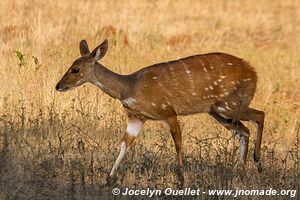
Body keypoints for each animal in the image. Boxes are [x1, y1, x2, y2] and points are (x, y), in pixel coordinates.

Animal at [55, 38, 264, 180]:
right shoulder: (136, 117)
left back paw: (257, 161)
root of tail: (254, 73)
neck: (129, 88)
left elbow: (178, 143)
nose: (58, 86)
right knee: (244, 131)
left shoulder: (168, 111)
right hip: (217, 111)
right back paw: (240, 170)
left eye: (75, 69)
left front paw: (181, 177)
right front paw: (109, 179)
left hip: (229, 104)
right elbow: (124, 145)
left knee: (260, 115)